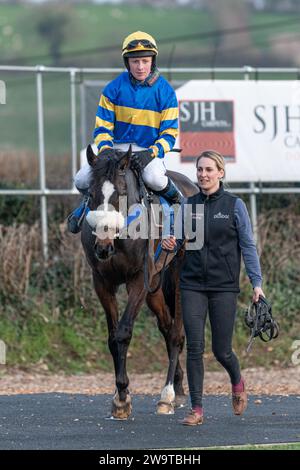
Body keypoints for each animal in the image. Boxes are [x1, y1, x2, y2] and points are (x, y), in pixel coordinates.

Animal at [81, 144, 198, 418]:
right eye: (90, 194)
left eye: (121, 194)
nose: (102, 247)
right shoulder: (102, 282)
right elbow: (112, 337)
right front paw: (120, 396)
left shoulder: (137, 280)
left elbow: (123, 332)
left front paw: (123, 396)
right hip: (154, 285)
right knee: (166, 326)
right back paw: (178, 388)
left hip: (178, 273)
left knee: (176, 334)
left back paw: (167, 395)